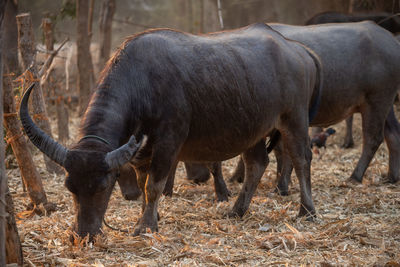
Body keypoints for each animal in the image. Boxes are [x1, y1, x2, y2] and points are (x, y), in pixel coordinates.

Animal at [21, 23, 322, 241]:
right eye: (70, 187)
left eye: (104, 186)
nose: (82, 235)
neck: (142, 84)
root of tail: (298, 50)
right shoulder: (141, 152)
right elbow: (143, 185)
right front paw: (148, 218)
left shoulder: (168, 142)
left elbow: (153, 185)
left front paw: (145, 227)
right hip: (252, 130)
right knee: (257, 164)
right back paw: (237, 210)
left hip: (294, 119)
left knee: (301, 159)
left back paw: (307, 211)